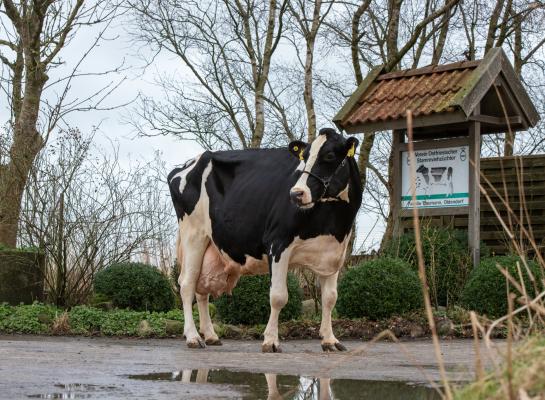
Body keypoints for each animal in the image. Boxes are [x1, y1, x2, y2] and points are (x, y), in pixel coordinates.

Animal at [166, 128, 362, 354]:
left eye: (330, 156)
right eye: (304, 157)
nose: (296, 193)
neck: (333, 220)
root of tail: (188, 163)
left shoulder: (334, 253)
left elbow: (330, 298)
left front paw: (330, 340)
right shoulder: (278, 243)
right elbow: (278, 296)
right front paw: (270, 340)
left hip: (210, 244)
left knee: (201, 290)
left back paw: (211, 335)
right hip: (193, 233)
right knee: (187, 284)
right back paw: (193, 337)